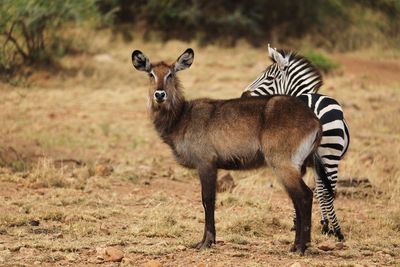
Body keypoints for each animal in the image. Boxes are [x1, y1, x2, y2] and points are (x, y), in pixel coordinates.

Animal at [133, 48, 332, 255]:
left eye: (170, 74)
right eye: (151, 74)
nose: (160, 94)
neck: (181, 118)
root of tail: (314, 120)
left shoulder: (206, 164)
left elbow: (208, 200)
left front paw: (206, 242)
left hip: (283, 165)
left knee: (304, 196)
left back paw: (301, 247)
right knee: (298, 199)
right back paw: (295, 245)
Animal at [241, 45, 350, 242]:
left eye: (269, 78)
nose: (243, 95)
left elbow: (316, 189)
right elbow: (320, 190)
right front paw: (324, 226)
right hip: (330, 156)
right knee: (328, 190)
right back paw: (337, 231)